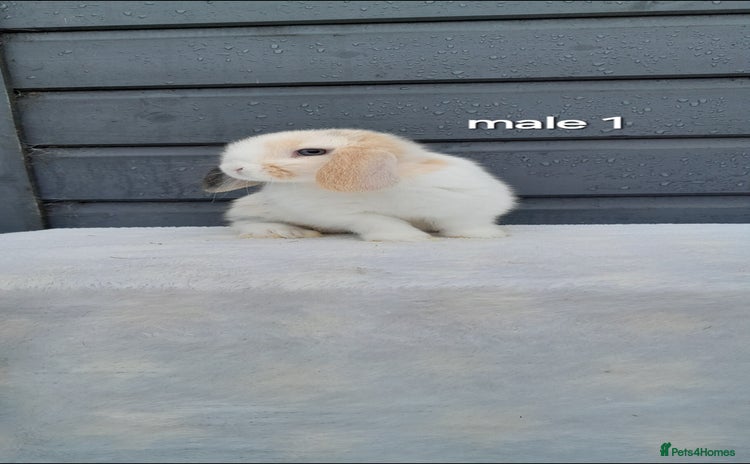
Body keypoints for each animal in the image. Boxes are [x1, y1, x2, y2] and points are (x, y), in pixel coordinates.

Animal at [202, 128, 516, 241]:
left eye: (310, 151)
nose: (234, 167)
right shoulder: (350, 216)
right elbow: (382, 222)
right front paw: (408, 237)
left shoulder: (467, 205)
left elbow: (465, 224)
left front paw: (484, 235)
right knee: (242, 223)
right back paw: (286, 231)